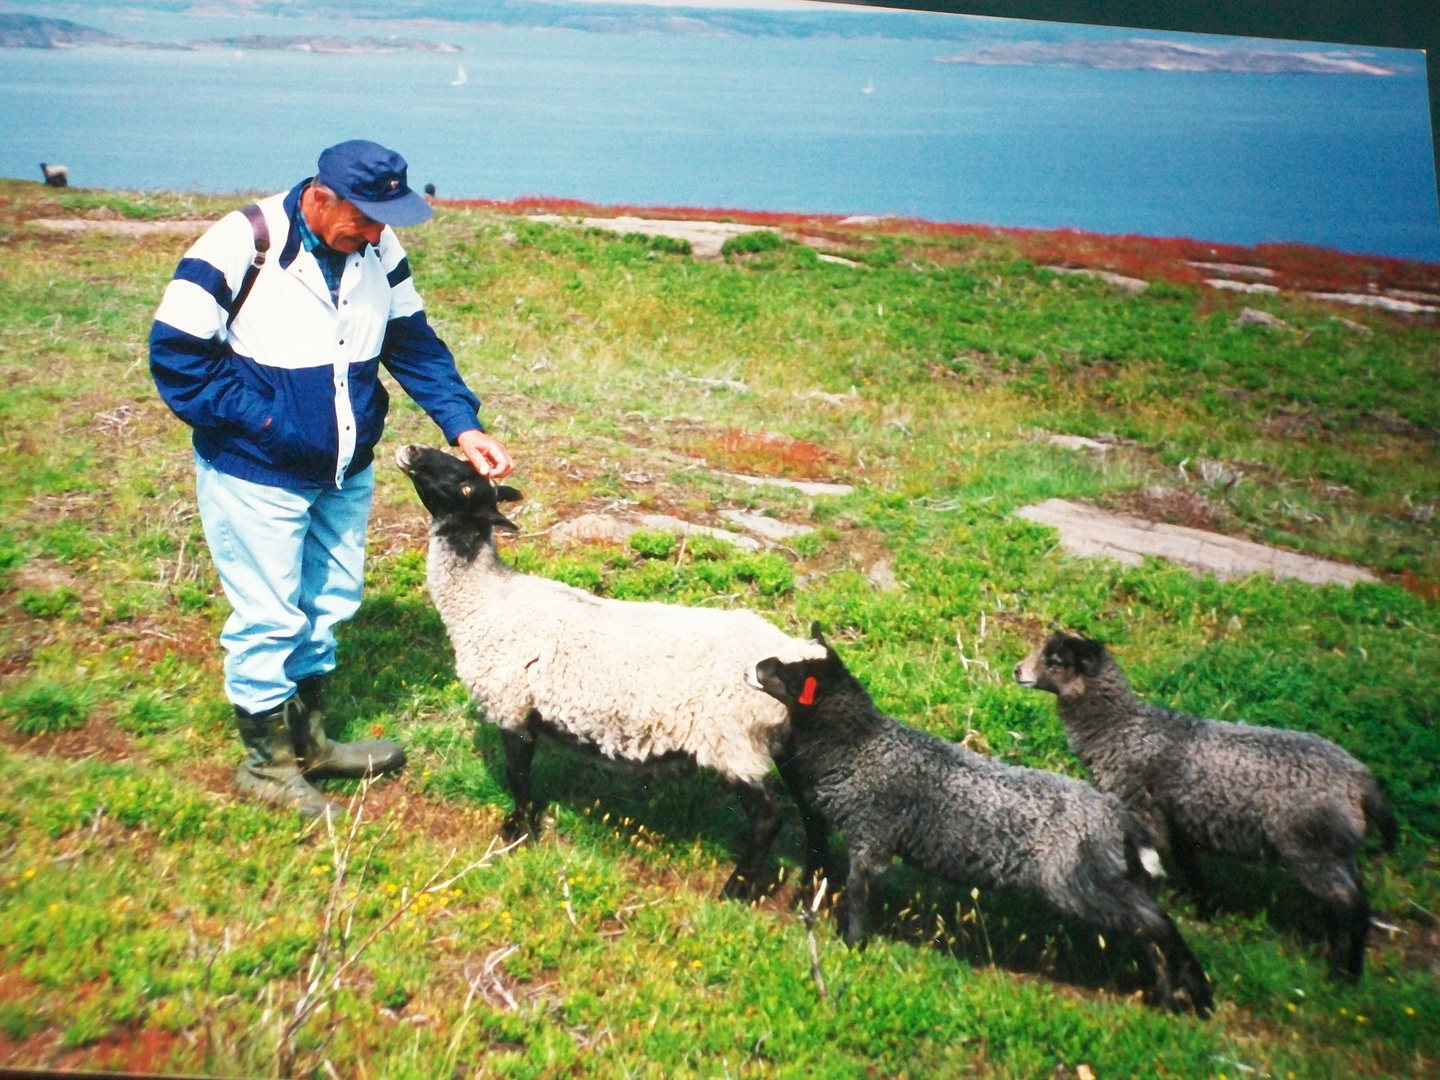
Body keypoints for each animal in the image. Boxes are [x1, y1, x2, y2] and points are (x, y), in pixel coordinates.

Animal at [394, 443, 829, 898]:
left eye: (465, 486)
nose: (413, 450)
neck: (486, 598)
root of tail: (798, 653)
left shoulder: (512, 706)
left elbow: (518, 777)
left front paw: (517, 835)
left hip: (733, 740)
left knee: (768, 818)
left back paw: (737, 890)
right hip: (787, 743)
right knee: (815, 813)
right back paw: (813, 888)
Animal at [748, 624, 1209, 1013]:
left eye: (791, 673)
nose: (755, 667)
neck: (859, 745)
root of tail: (1115, 816)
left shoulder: (871, 835)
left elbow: (860, 893)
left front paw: (853, 944)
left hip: (1078, 879)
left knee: (1156, 922)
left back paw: (1194, 991)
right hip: (1109, 876)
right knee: (1147, 925)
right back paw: (1171, 992)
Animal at [1013, 630, 1393, 984]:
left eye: (1056, 662)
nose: (1017, 671)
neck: (1121, 729)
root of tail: (1362, 784)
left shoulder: (1145, 814)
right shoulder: (1179, 823)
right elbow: (1192, 870)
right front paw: (1204, 914)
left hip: (1314, 848)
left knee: (1354, 906)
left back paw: (1345, 974)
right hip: (1337, 850)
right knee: (1343, 902)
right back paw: (1330, 956)